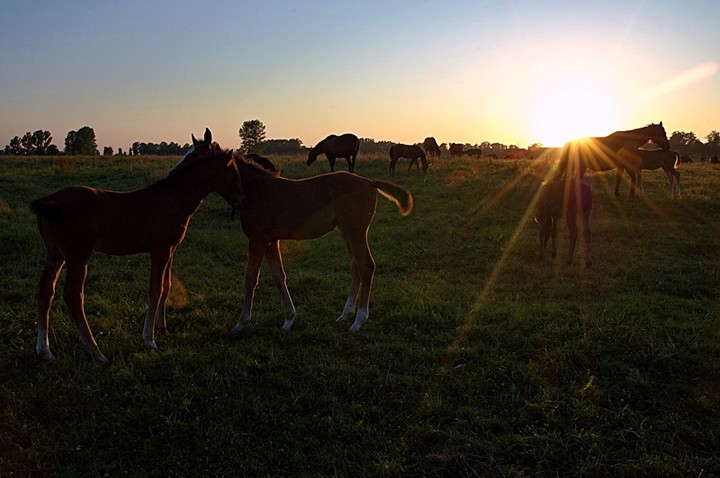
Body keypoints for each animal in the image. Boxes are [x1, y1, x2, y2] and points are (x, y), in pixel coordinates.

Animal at [31, 133, 245, 364]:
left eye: (195, 154)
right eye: (235, 173)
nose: (242, 201)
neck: (175, 198)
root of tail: (50, 201)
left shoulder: (170, 250)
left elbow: (167, 286)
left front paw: (163, 328)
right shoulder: (160, 249)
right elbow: (155, 289)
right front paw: (149, 339)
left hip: (55, 254)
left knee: (45, 291)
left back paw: (45, 350)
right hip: (78, 256)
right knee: (73, 296)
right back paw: (97, 352)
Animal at [188, 134, 414, 334]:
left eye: (199, 158)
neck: (257, 190)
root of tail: (369, 182)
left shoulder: (258, 240)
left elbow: (251, 278)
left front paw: (241, 323)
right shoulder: (271, 241)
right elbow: (279, 277)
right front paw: (288, 320)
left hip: (356, 232)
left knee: (367, 266)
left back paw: (358, 321)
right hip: (348, 233)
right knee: (356, 267)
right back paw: (345, 314)